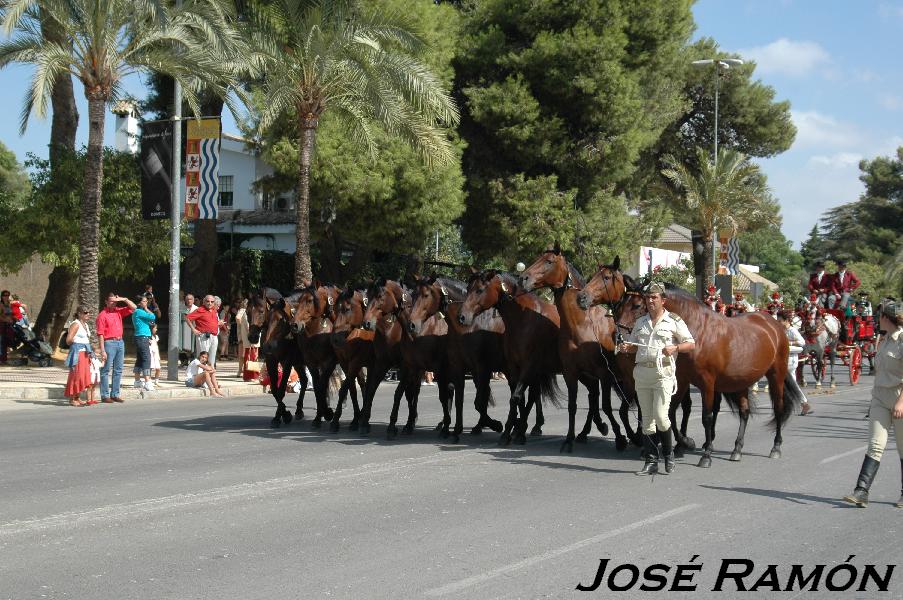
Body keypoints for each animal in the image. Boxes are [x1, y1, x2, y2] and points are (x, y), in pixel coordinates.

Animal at [462, 272, 560, 446]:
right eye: (467, 288)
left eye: (479, 290)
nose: (462, 316)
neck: (524, 319)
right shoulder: (512, 368)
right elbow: (515, 399)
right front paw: (510, 431)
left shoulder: (526, 366)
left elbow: (514, 398)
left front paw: (508, 429)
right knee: (534, 395)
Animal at [520, 246, 640, 452]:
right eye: (538, 258)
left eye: (549, 261)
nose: (523, 278)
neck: (582, 325)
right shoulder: (571, 373)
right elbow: (573, 406)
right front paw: (569, 439)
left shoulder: (604, 373)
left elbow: (606, 406)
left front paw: (620, 437)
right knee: (593, 398)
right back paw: (585, 433)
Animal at [588, 276, 804, 468]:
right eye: (619, 306)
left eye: (637, 305)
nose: (618, 338)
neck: (697, 333)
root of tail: (773, 325)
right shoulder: (681, 380)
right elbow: (670, 413)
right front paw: (682, 443)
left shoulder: (707, 383)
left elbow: (706, 417)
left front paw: (705, 454)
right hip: (741, 381)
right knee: (744, 412)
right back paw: (737, 450)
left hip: (776, 374)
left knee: (778, 408)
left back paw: (775, 447)